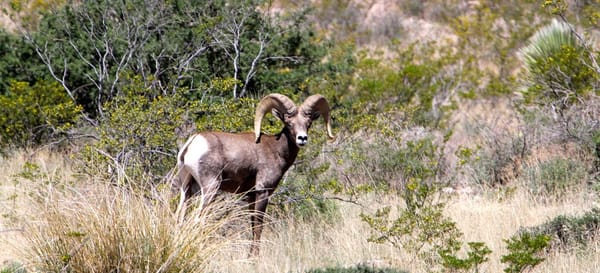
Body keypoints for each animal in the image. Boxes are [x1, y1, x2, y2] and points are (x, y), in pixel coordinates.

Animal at [175, 93, 332, 255]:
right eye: (289, 123)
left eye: (308, 123)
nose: (302, 138)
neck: (277, 150)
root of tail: (192, 144)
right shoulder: (263, 191)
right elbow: (258, 226)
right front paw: (254, 256)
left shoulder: (250, 195)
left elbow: (252, 225)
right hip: (210, 189)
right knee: (198, 219)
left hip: (187, 189)